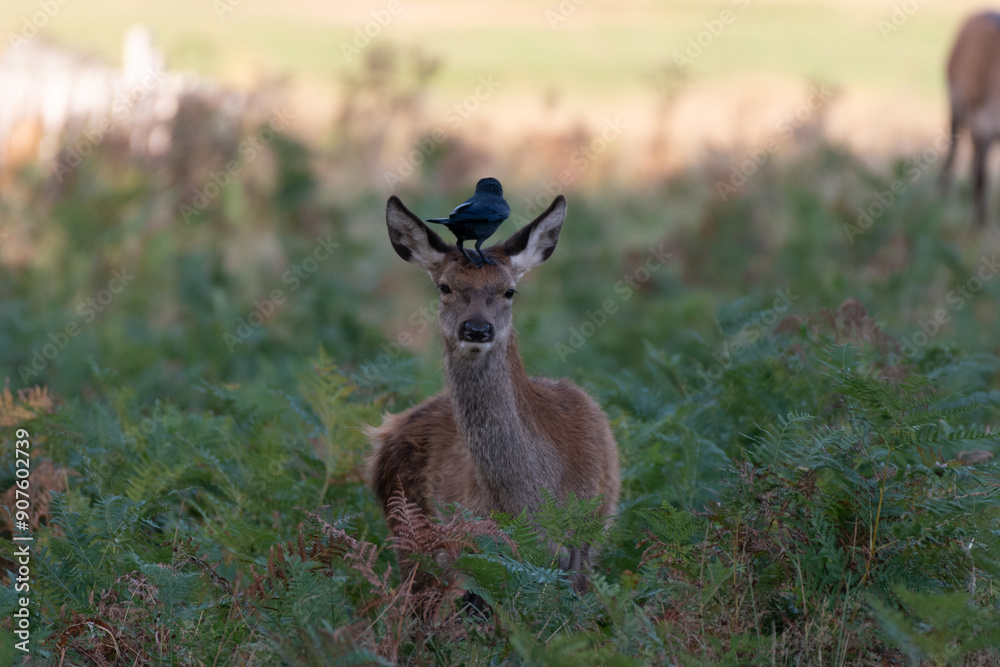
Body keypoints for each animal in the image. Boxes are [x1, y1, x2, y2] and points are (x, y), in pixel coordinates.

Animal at [366, 193, 620, 594]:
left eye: (509, 290)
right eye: (445, 287)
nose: (476, 328)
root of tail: (386, 431)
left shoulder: (588, 537)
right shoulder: (472, 547)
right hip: (408, 527)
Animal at [940, 11, 1000, 224]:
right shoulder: (979, 122)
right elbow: (981, 174)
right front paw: (979, 221)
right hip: (955, 104)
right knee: (954, 146)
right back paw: (942, 191)